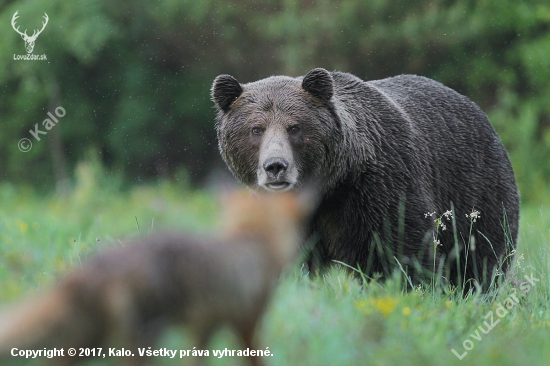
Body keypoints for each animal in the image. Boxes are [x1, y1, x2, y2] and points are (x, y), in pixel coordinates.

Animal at [212, 68, 520, 292]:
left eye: (295, 127)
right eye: (256, 129)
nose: (276, 166)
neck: (328, 187)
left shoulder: (380, 189)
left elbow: (403, 251)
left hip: (475, 189)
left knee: (480, 255)